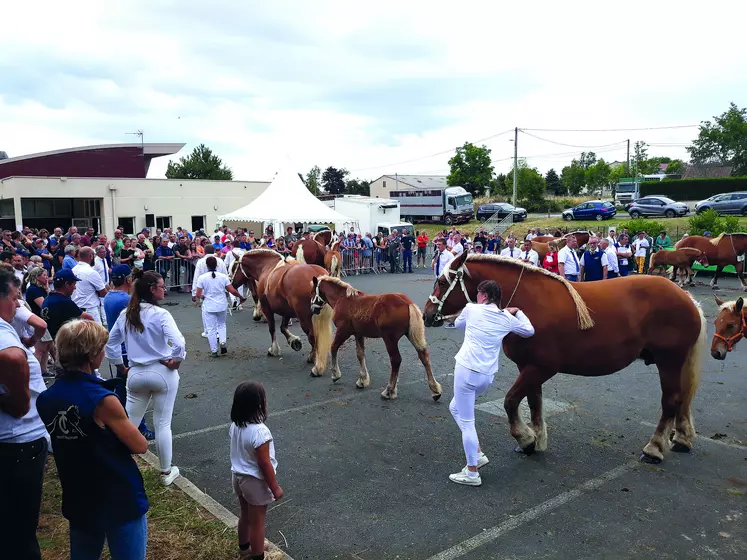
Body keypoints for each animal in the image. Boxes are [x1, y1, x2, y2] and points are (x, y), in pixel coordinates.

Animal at [312, 274, 444, 398]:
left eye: (313, 291)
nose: (313, 308)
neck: (343, 298)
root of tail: (407, 302)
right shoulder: (358, 334)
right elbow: (360, 354)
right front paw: (362, 380)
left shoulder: (343, 331)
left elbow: (333, 347)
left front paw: (335, 374)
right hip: (411, 335)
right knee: (424, 356)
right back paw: (435, 390)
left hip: (389, 339)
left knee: (396, 360)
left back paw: (389, 391)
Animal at [426, 252, 708, 462]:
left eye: (442, 282)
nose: (428, 314)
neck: (528, 300)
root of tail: (686, 297)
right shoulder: (529, 367)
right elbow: (534, 403)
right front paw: (537, 439)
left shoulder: (542, 367)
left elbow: (510, 401)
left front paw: (525, 439)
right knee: (682, 400)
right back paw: (681, 438)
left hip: (669, 361)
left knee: (671, 400)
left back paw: (654, 448)